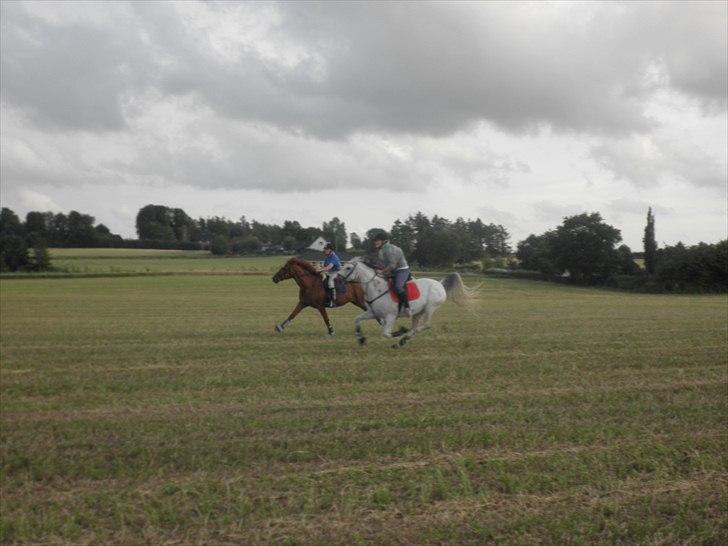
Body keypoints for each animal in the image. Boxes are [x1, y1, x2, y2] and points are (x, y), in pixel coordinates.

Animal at [340, 258, 480, 346]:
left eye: (348, 268)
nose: (338, 277)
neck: (376, 288)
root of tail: (440, 284)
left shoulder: (390, 316)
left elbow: (386, 333)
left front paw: (399, 333)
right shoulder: (372, 313)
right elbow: (357, 320)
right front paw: (361, 339)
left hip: (430, 308)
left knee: (425, 325)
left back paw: (403, 339)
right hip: (418, 312)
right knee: (414, 327)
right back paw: (404, 339)